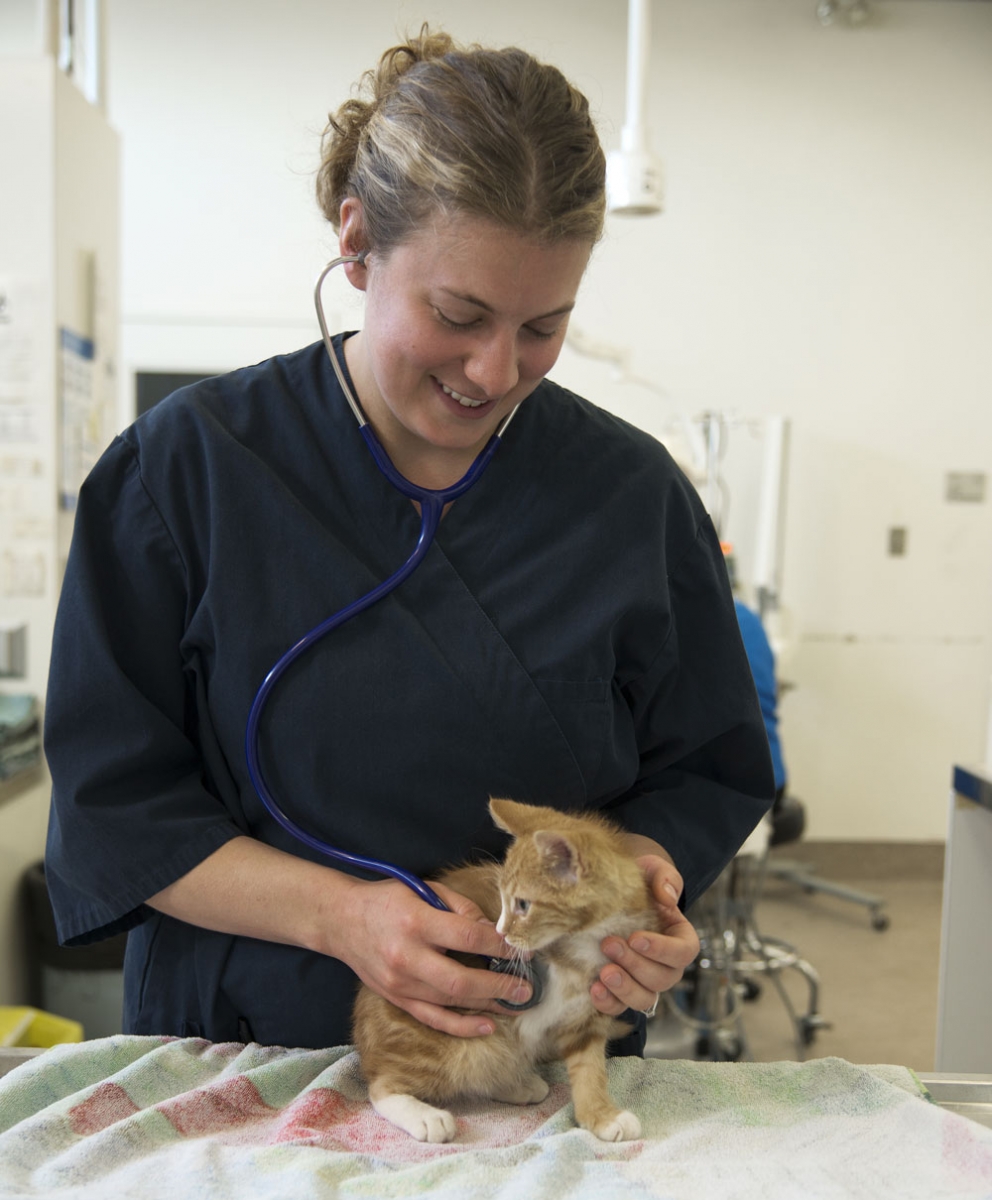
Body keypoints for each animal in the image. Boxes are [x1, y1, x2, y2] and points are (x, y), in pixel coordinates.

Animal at [352, 796, 662, 1142]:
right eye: (502, 900)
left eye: (523, 904)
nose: (499, 931)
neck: (582, 943)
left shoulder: (587, 1014)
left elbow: (590, 1068)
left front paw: (601, 1116)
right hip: (452, 1042)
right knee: (381, 1086)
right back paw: (424, 1115)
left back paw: (517, 1084)